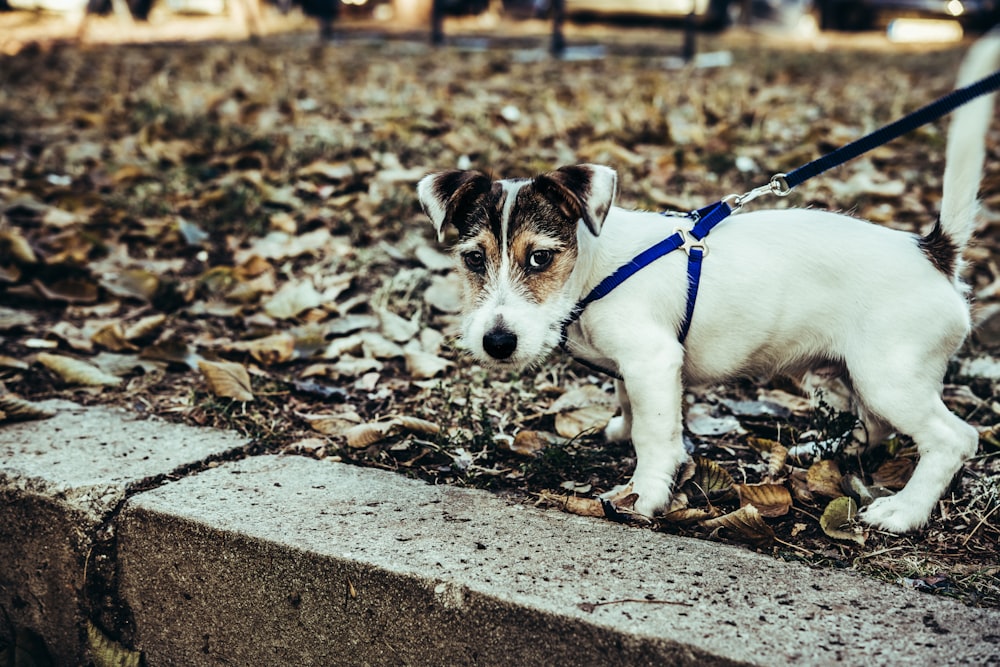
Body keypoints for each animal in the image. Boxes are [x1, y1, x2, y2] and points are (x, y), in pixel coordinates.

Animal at [416, 39, 1000, 536]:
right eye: (473, 259)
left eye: (540, 258)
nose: (497, 343)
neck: (596, 265)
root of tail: (932, 252)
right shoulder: (638, 369)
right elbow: (631, 405)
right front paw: (622, 430)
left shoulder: (652, 360)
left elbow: (655, 436)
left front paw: (646, 494)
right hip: (861, 375)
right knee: (880, 428)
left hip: (889, 376)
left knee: (953, 439)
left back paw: (905, 510)